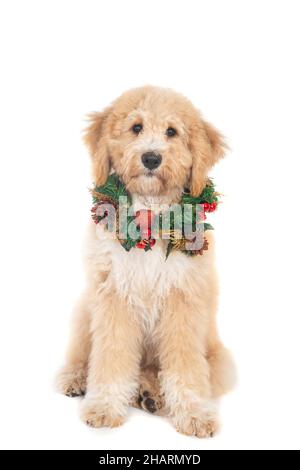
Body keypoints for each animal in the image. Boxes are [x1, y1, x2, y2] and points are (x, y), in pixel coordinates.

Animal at [56, 84, 234, 436]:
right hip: (86, 308)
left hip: (218, 358)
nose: (151, 157)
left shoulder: (184, 307)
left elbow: (185, 366)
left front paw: (194, 413)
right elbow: (110, 358)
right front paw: (103, 406)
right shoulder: (113, 299)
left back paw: (152, 394)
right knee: (83, 353)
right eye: (136, 127)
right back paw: (77, 378)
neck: (151, 219)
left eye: (172, 132)